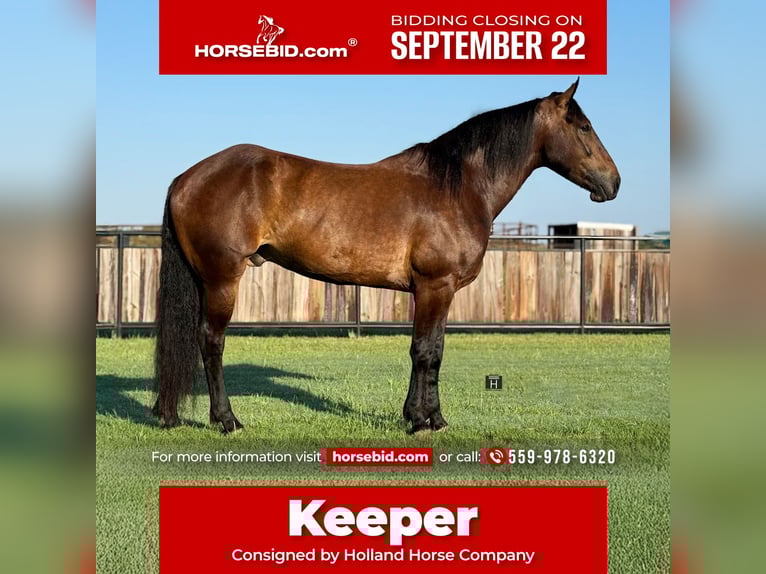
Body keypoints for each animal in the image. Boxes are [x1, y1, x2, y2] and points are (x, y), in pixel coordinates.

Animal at [153, 79, 620, 434]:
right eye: (583, 127)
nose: (612, 183)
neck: (458, 187)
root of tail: (186, 177)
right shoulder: (434, 286)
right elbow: (425, 351)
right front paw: (421, 421)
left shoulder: (440, 292)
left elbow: (435, 349)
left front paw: (429, 417)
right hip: (222, 280)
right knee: (211, 342)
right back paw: (227, 420)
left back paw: (168, 413)